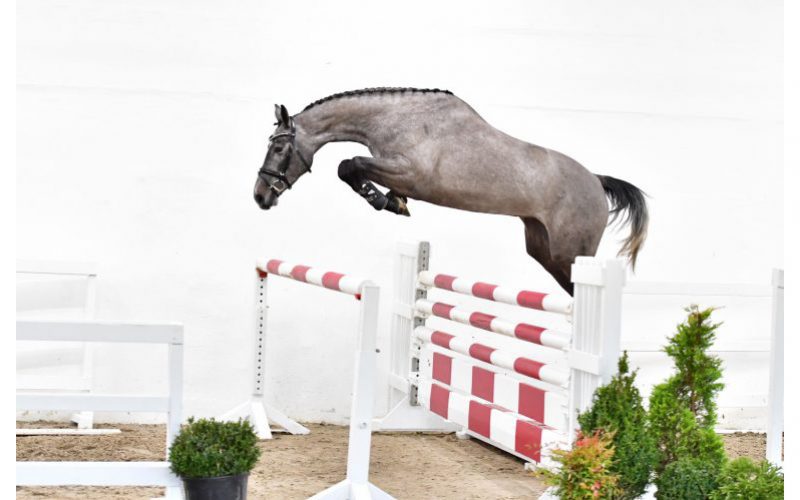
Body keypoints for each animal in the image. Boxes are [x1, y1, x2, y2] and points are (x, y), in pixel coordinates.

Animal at [253, 87, 648, 295]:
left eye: (279, 148)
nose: (260, 196)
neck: (395, 119)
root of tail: (596, 180)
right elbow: (351, 166)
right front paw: (393, 201)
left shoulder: (412, 173)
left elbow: (348, 165)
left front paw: (384, 201)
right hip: (543, 249)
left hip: (571, 253)